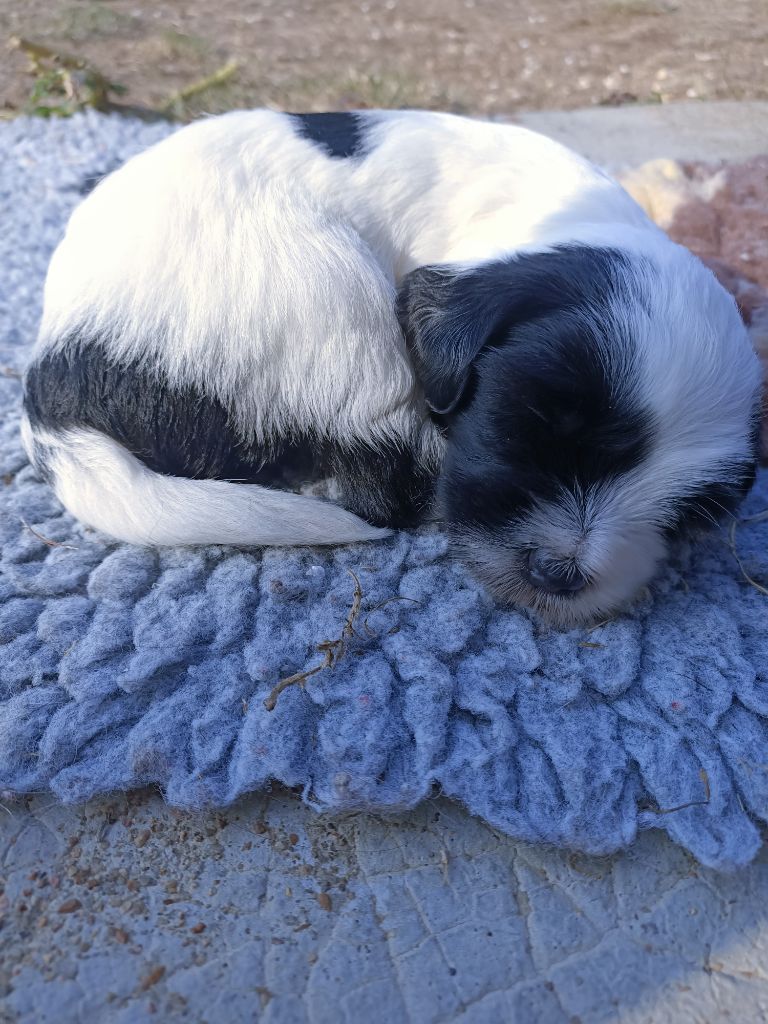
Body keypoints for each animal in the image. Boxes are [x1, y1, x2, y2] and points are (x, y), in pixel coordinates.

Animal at [21, 109, 762, 626]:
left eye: (688, 513)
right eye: (527, 425)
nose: (561, 572)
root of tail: (54, 385)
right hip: (324, 291)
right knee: (384, 477)